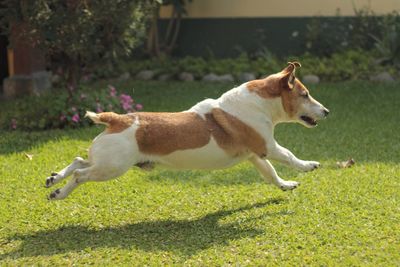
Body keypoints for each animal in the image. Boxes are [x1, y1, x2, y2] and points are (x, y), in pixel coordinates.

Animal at [46, 62, 328, 201]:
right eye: (305, 94)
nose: (326, 111)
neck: (258, 104)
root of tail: (117, 119)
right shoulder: (267, 147)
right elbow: (289, 156)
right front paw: (309, 165)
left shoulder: (254, 155)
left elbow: (270, 174)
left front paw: (286, 185)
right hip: (112, 168)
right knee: (80, 174)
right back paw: (59, 193)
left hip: (106, 161)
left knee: (78, 160)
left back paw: (54, 179)